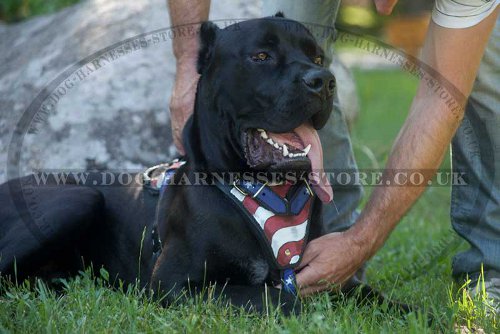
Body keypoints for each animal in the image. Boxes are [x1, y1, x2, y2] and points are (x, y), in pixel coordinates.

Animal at [0, 15, 406, 316]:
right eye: (261, 56)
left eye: (318, 58)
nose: (323, 80)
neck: (267, 192)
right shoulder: (174, 284)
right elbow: (280, 297)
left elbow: (372, 295)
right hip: (77, 199)